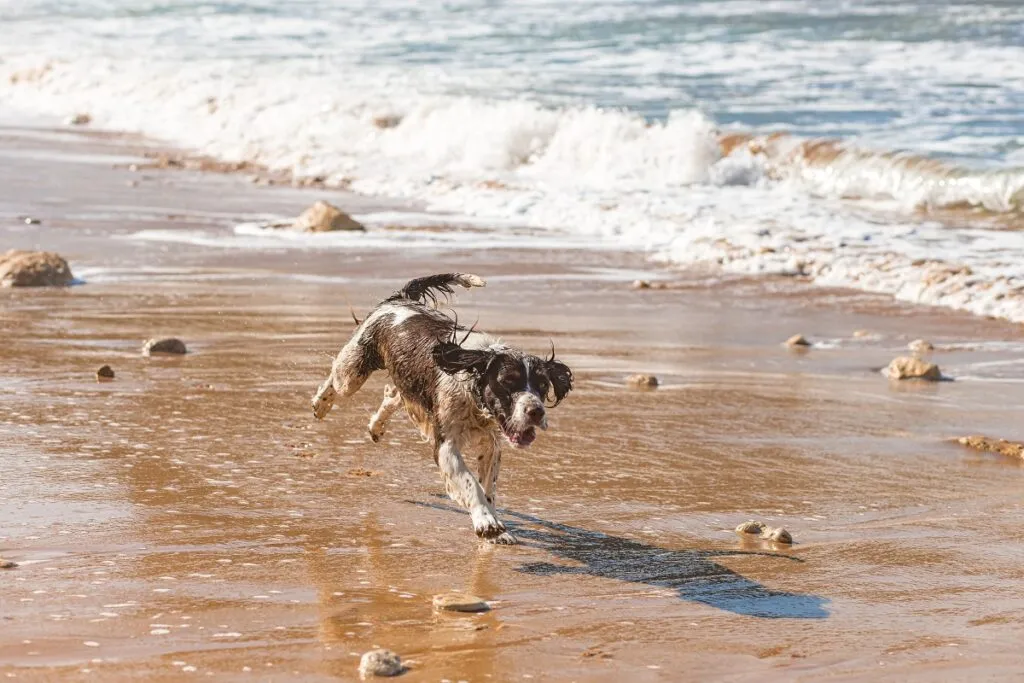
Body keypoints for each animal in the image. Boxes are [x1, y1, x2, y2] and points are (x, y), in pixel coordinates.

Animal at [309, 272, 577, 544]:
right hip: (353, 371)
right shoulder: (446, 444)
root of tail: (399, 299)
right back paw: (320, 405)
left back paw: (376, 427)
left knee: (394, 394)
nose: (536, 412)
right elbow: (470, 483)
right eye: (507, 381)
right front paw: (487, 523)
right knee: (336, 380)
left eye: (542, 385)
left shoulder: (490, 443)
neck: (471, 378)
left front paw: (495, 526)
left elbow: (487, 487)